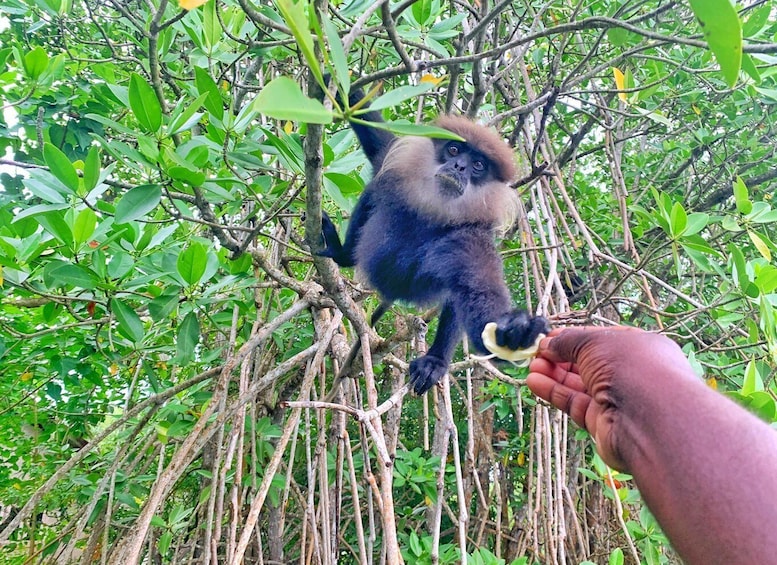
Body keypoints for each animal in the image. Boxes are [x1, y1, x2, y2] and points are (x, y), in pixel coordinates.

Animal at [319, 89, 550, 395]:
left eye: (478, 165)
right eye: (453, 150)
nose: (459, 166)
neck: (435, 211)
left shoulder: (470, 234)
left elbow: (475, 288)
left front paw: (513, 332)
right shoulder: (396, 178)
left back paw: (435, 361)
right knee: (371, 194)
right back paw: (343, 253)